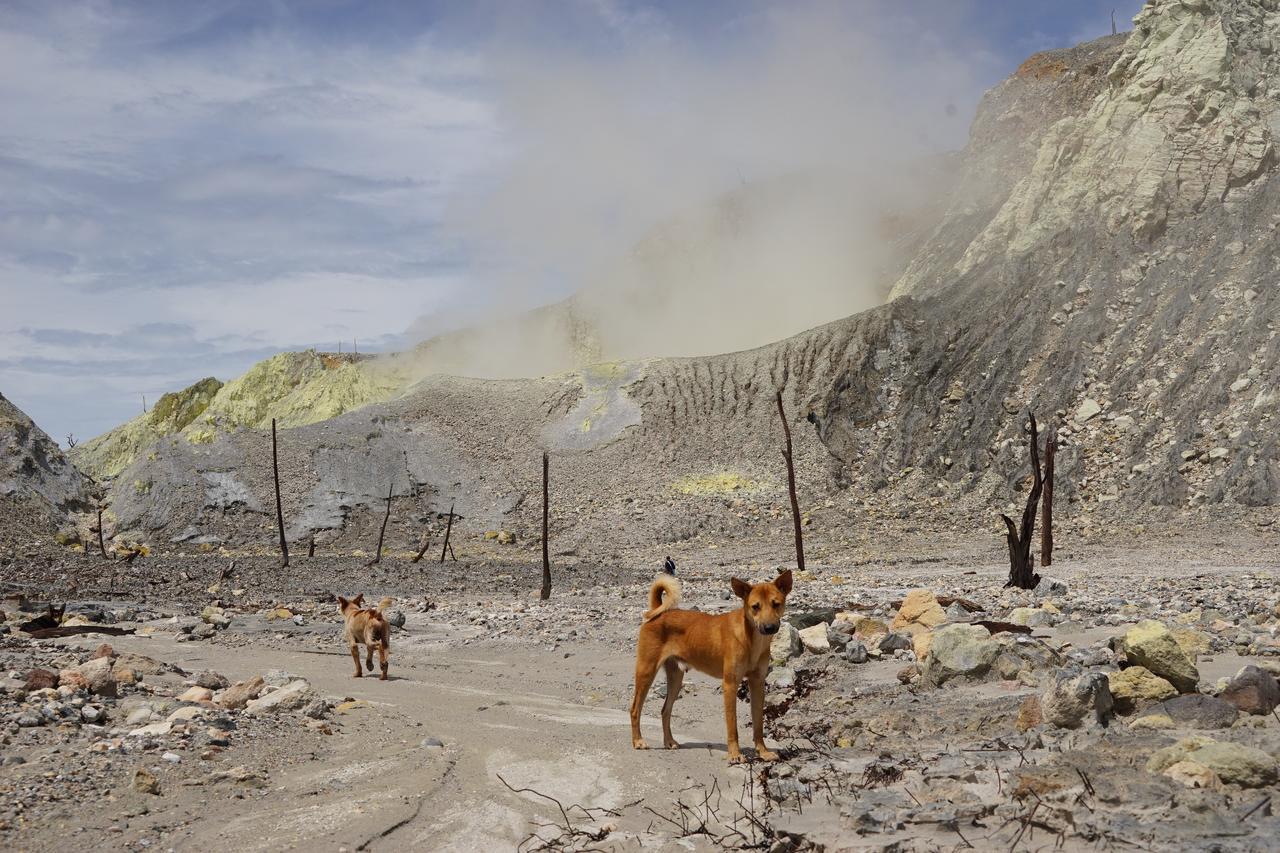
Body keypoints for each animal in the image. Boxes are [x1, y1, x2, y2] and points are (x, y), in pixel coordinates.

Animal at [629, 568, 788, 758]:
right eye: (755, 607)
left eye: (776, 604)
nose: (769, 628)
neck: (752, 640)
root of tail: (659, 612)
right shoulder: (730, 684)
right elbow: (732, 726)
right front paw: (734, 755)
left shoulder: (757, 683)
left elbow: (758, 723)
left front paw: (763, 752)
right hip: (646, 671)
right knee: (635, 709)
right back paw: (638, 741)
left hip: (676, 679)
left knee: (665, 710)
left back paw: (669, 741)